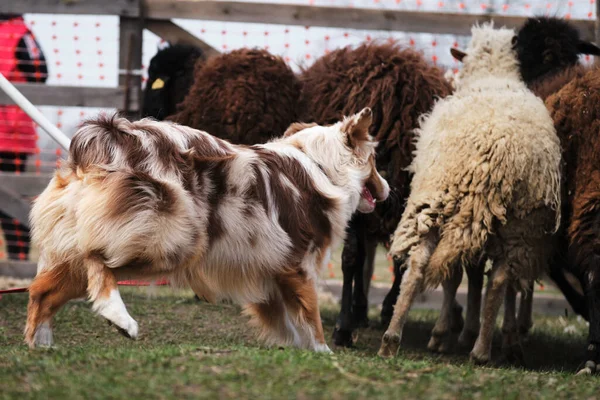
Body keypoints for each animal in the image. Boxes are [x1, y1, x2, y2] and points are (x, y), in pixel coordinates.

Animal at [23, 106, 390, 350]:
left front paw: (297, 347)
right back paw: (119, 318)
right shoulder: (298, 265)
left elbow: (287, 321)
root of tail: (107, 137)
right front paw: (324, 353)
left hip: (79, 242)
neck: (320, 166)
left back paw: (40, 344)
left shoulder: (268, 270)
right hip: (172, 238)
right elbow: (311, 316)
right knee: (97, 260)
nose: (388, 189)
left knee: (43, 289)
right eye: (375, 161)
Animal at [380, 23, 564, 364]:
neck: (491, 74)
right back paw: (479, 350)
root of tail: (497, 151)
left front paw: (444, 334)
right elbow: (476, 278)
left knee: (420, 265)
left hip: (437, 198)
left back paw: (396, 338)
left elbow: (455, 277)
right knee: (500, 279)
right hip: (520, 222)